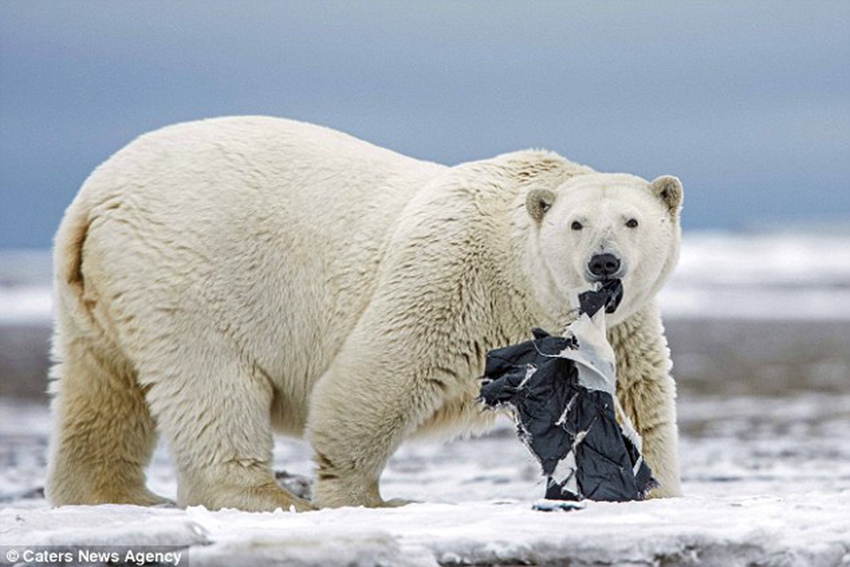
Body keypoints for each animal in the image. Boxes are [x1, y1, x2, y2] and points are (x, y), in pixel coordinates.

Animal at [46, 116, 683, 511]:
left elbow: (638, 399)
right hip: (190, 275)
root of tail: (94, 198)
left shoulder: (624, 325)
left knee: (102, 388)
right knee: (214, 384)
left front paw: (650, 487)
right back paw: (274, 499)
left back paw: (113, 493)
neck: (521, 275)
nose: (604, 263)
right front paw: (372, 498)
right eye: (576, 224)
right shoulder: (454, 274)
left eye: (631, 220)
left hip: (96, 296)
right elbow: (379, 375)